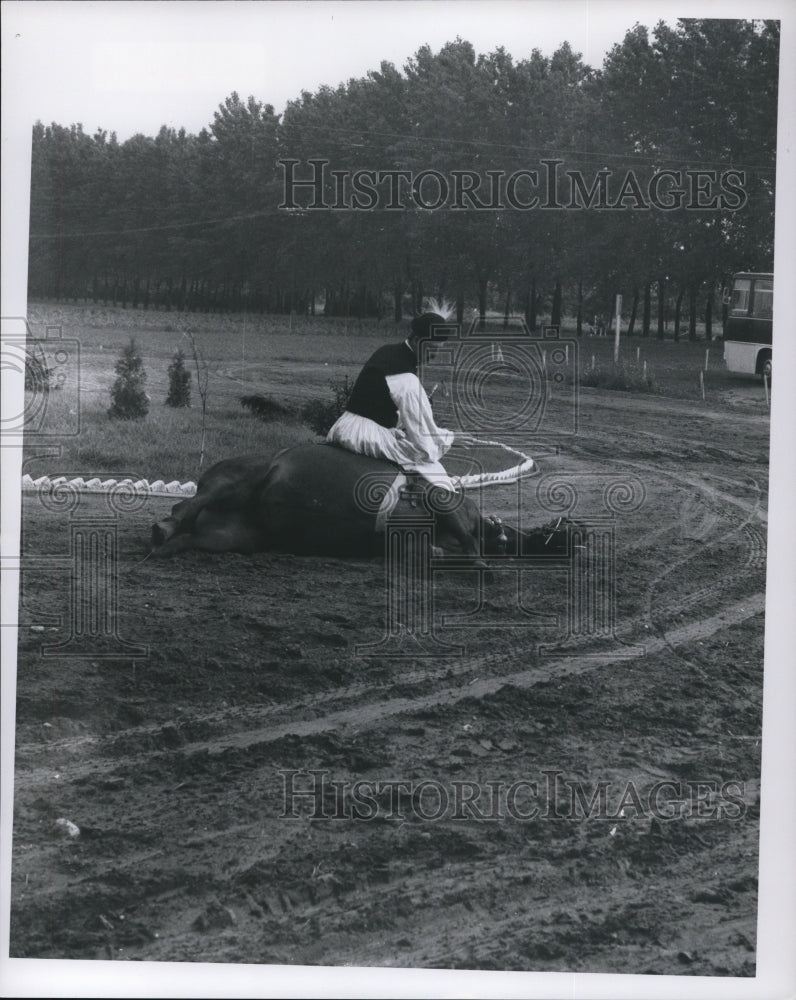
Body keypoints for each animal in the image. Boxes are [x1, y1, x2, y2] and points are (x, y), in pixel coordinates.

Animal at [149, 444, 568, 564]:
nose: (573, 534)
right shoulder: (444, 504)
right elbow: (467, 546)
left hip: (232, 536)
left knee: (186, 536)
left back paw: (167, 540)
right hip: (242, 479)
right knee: (182, 511)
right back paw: (162, 527)